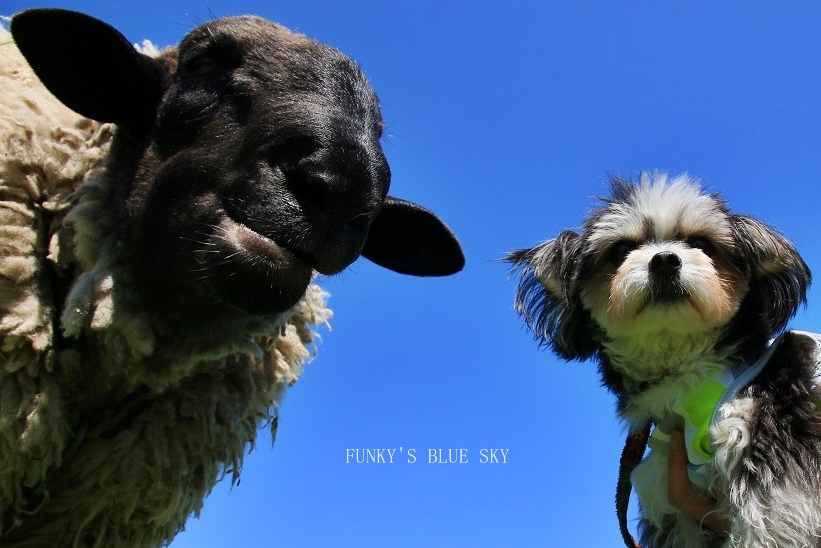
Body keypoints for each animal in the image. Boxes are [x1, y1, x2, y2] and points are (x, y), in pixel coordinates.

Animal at [510, 172, 816, 548]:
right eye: (620, 250)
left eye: (701, 243)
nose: (665, 260)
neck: (688, 376)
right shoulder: (671, 497)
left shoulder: (770, 440)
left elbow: (772, 521)